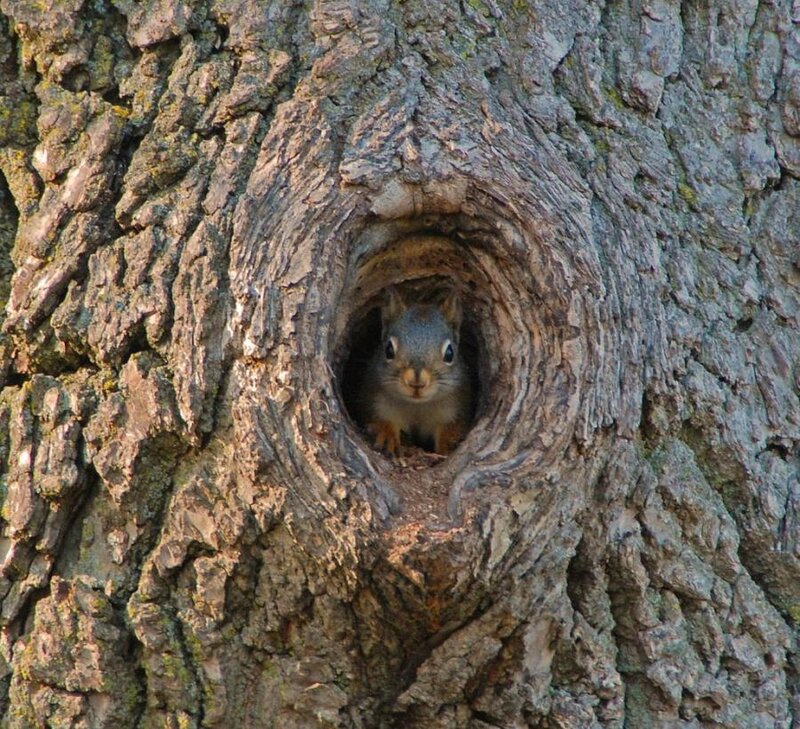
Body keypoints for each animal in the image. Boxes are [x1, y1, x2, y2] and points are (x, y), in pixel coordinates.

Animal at [361, 287, 473, 456]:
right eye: (388, 350)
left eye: (450, 353)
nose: (417, 382)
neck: (417, 407)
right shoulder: (375, 401)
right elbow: (381, 418)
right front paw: (386, 434)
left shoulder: (456, 409)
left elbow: (451, 427)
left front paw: (449, 442)